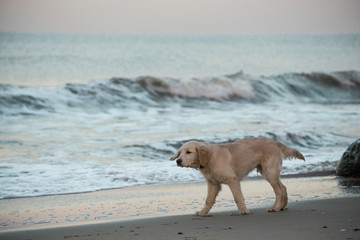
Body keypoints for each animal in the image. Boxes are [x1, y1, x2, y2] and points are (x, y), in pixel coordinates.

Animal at [170, 137, 306, 216]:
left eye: (189, 152)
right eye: (180, 152)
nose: (178, 161)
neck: (210, 159)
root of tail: (274, 142)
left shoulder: (232, 180)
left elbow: (238, 197)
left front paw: (243, 211)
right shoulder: (213, 183)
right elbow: (209, 199)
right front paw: (203, 212)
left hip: (269, 172)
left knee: (279, 190)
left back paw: (275, 207)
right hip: (269, 172)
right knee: (283, 187)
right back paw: (282, 206)